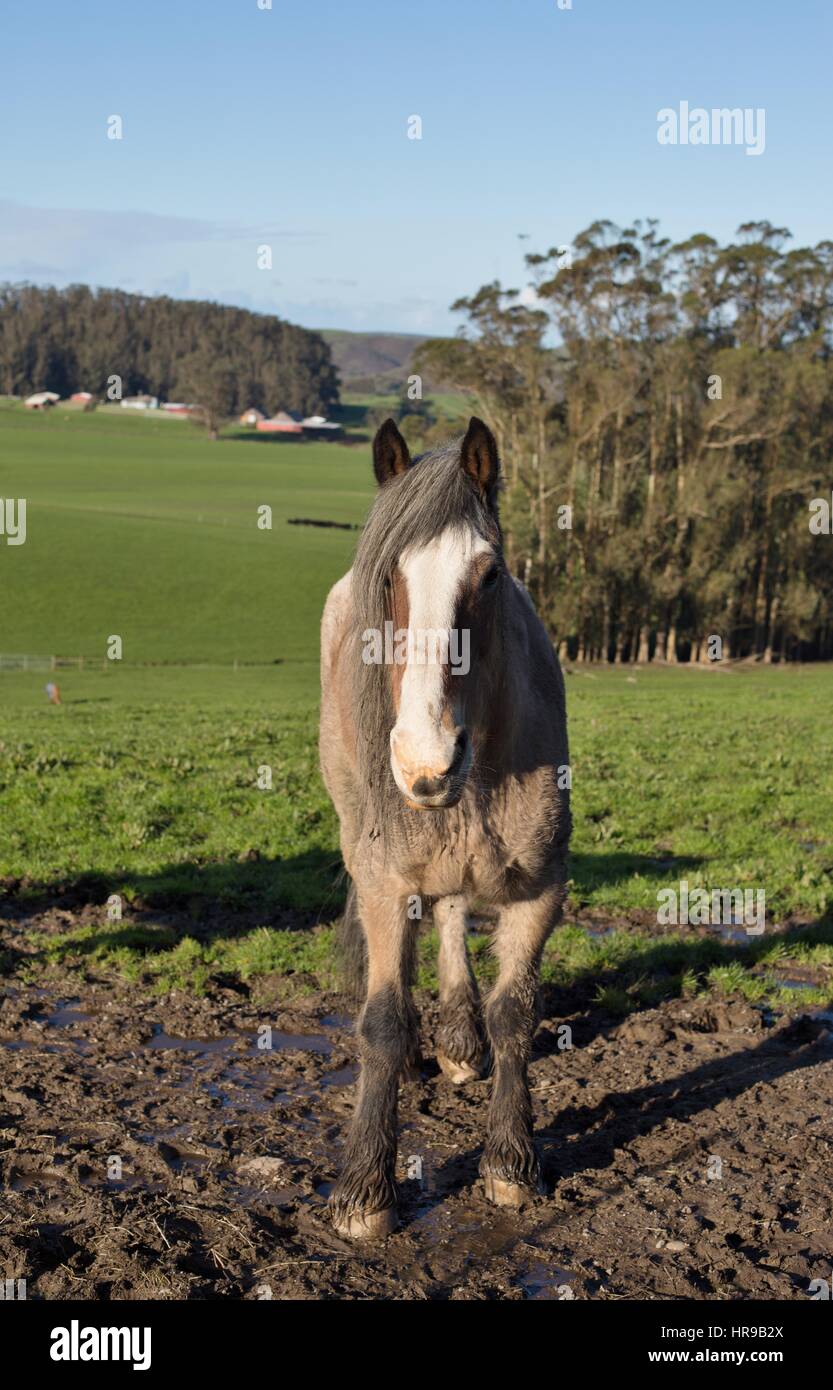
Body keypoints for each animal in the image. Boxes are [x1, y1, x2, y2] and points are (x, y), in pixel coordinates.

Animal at [321, 414, 572, 1239]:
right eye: (389, 578)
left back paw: (460, 1035)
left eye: (488, 577)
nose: (425, 762)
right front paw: (366, 1189)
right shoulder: (381, 880)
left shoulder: (540, 890)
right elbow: (382, 1023)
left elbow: (514, 1012)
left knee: (456, 912)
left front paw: (510, 1162)